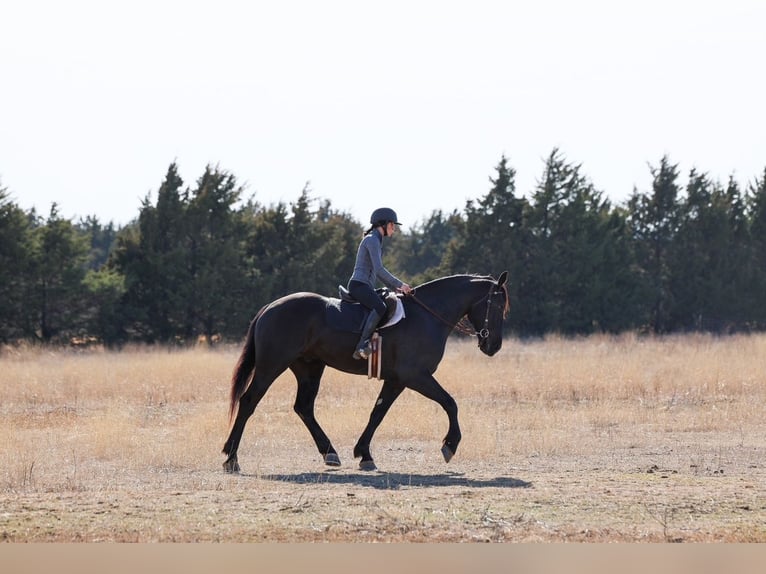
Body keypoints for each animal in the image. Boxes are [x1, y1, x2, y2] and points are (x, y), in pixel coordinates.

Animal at [222, 271, 509, 473]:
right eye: (496, 306)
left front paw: (364, 454)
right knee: (248, 402)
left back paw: (329, 452)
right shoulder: (416, 376)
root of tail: (270, 307)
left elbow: (377, 414)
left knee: (303, 407)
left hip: (309, 369)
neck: (427, 316)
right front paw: (450, 444)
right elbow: (450, 403)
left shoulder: (396, 380)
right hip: (271, 366)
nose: (494, 346)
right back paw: (231, 457)